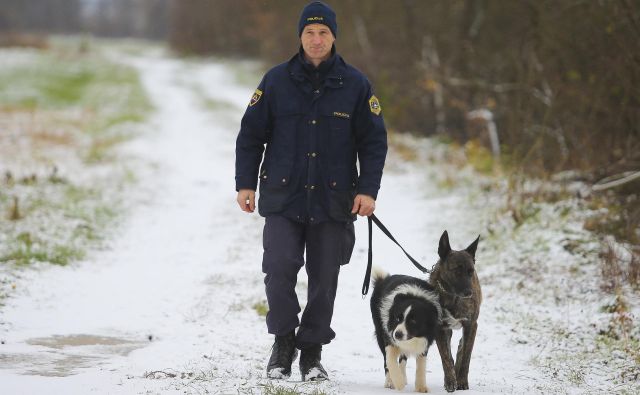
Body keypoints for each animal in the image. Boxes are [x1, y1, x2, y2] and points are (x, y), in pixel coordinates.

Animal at [430, 232, 480, 392]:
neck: (453, 296)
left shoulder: (471, 325)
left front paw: (462, 381)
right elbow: (446, 357)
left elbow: (466, 357)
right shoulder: (440, 328)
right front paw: (450, 381)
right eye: (456, 270)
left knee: (461, 347)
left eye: (471, 271)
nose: (469, 293)